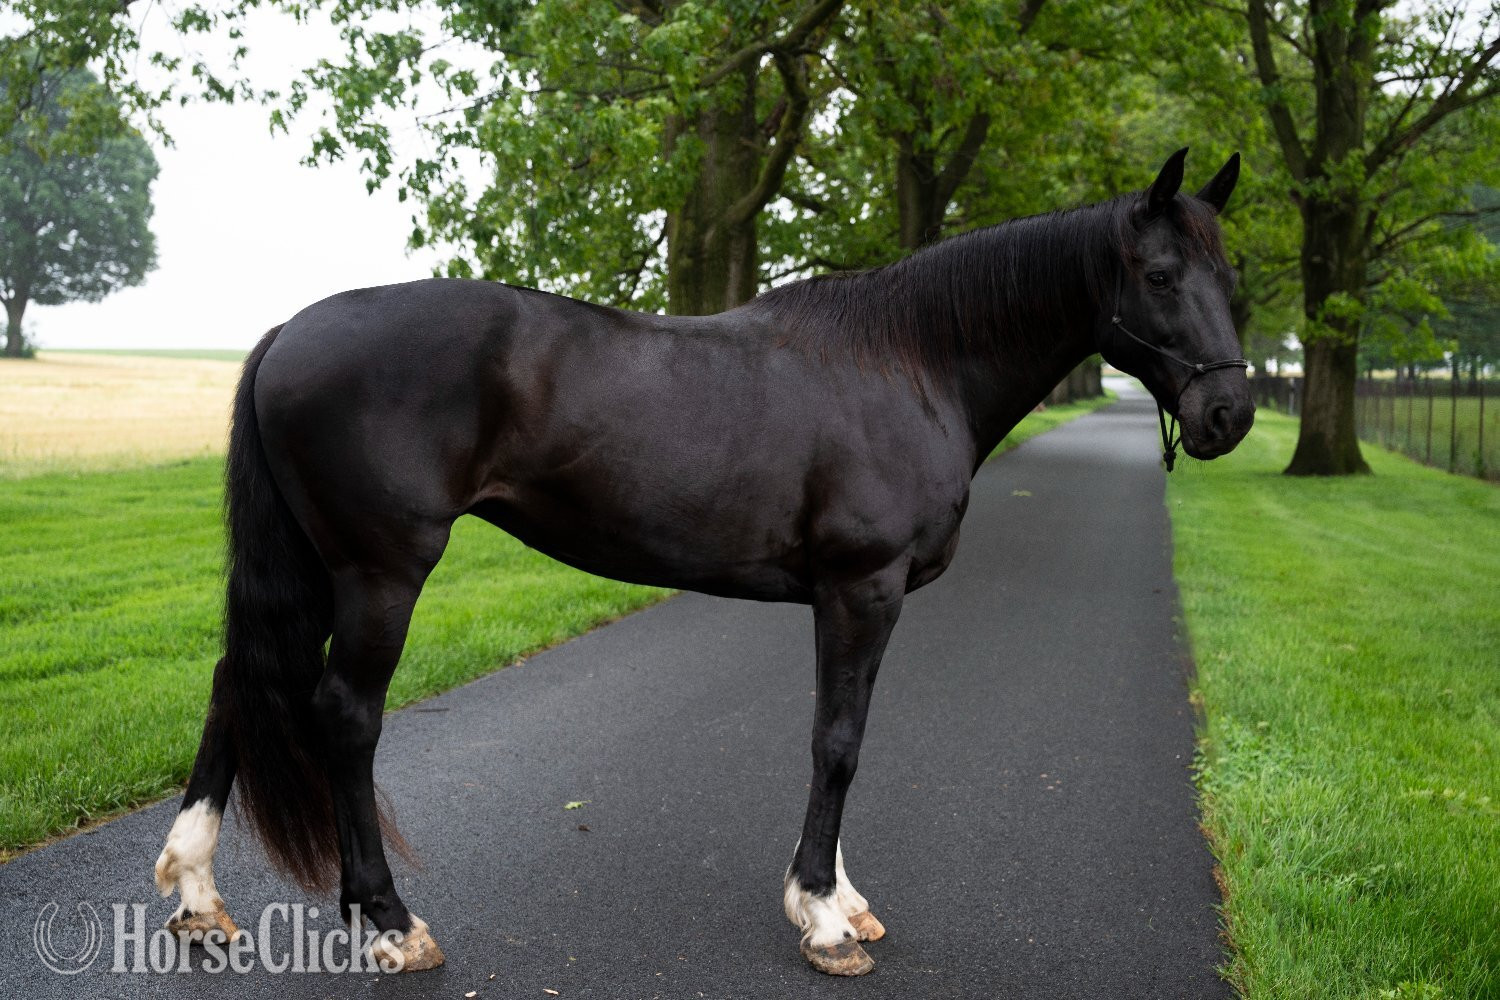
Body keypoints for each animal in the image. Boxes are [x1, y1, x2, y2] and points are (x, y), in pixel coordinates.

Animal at [152, 148, 1252, 977]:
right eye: (1161, 277)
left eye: (1233, 282)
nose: (1229, 415)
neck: (909, 362)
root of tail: (291, 331)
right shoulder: (862, 589)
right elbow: (839, 743)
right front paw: (822, 918)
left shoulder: (854, 600)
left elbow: (842, 734)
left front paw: (842, 895)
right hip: (381, 572)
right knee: (342, 716)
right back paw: (389, 923)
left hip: (312, 568)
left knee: (236, 682)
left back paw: (199, 897)